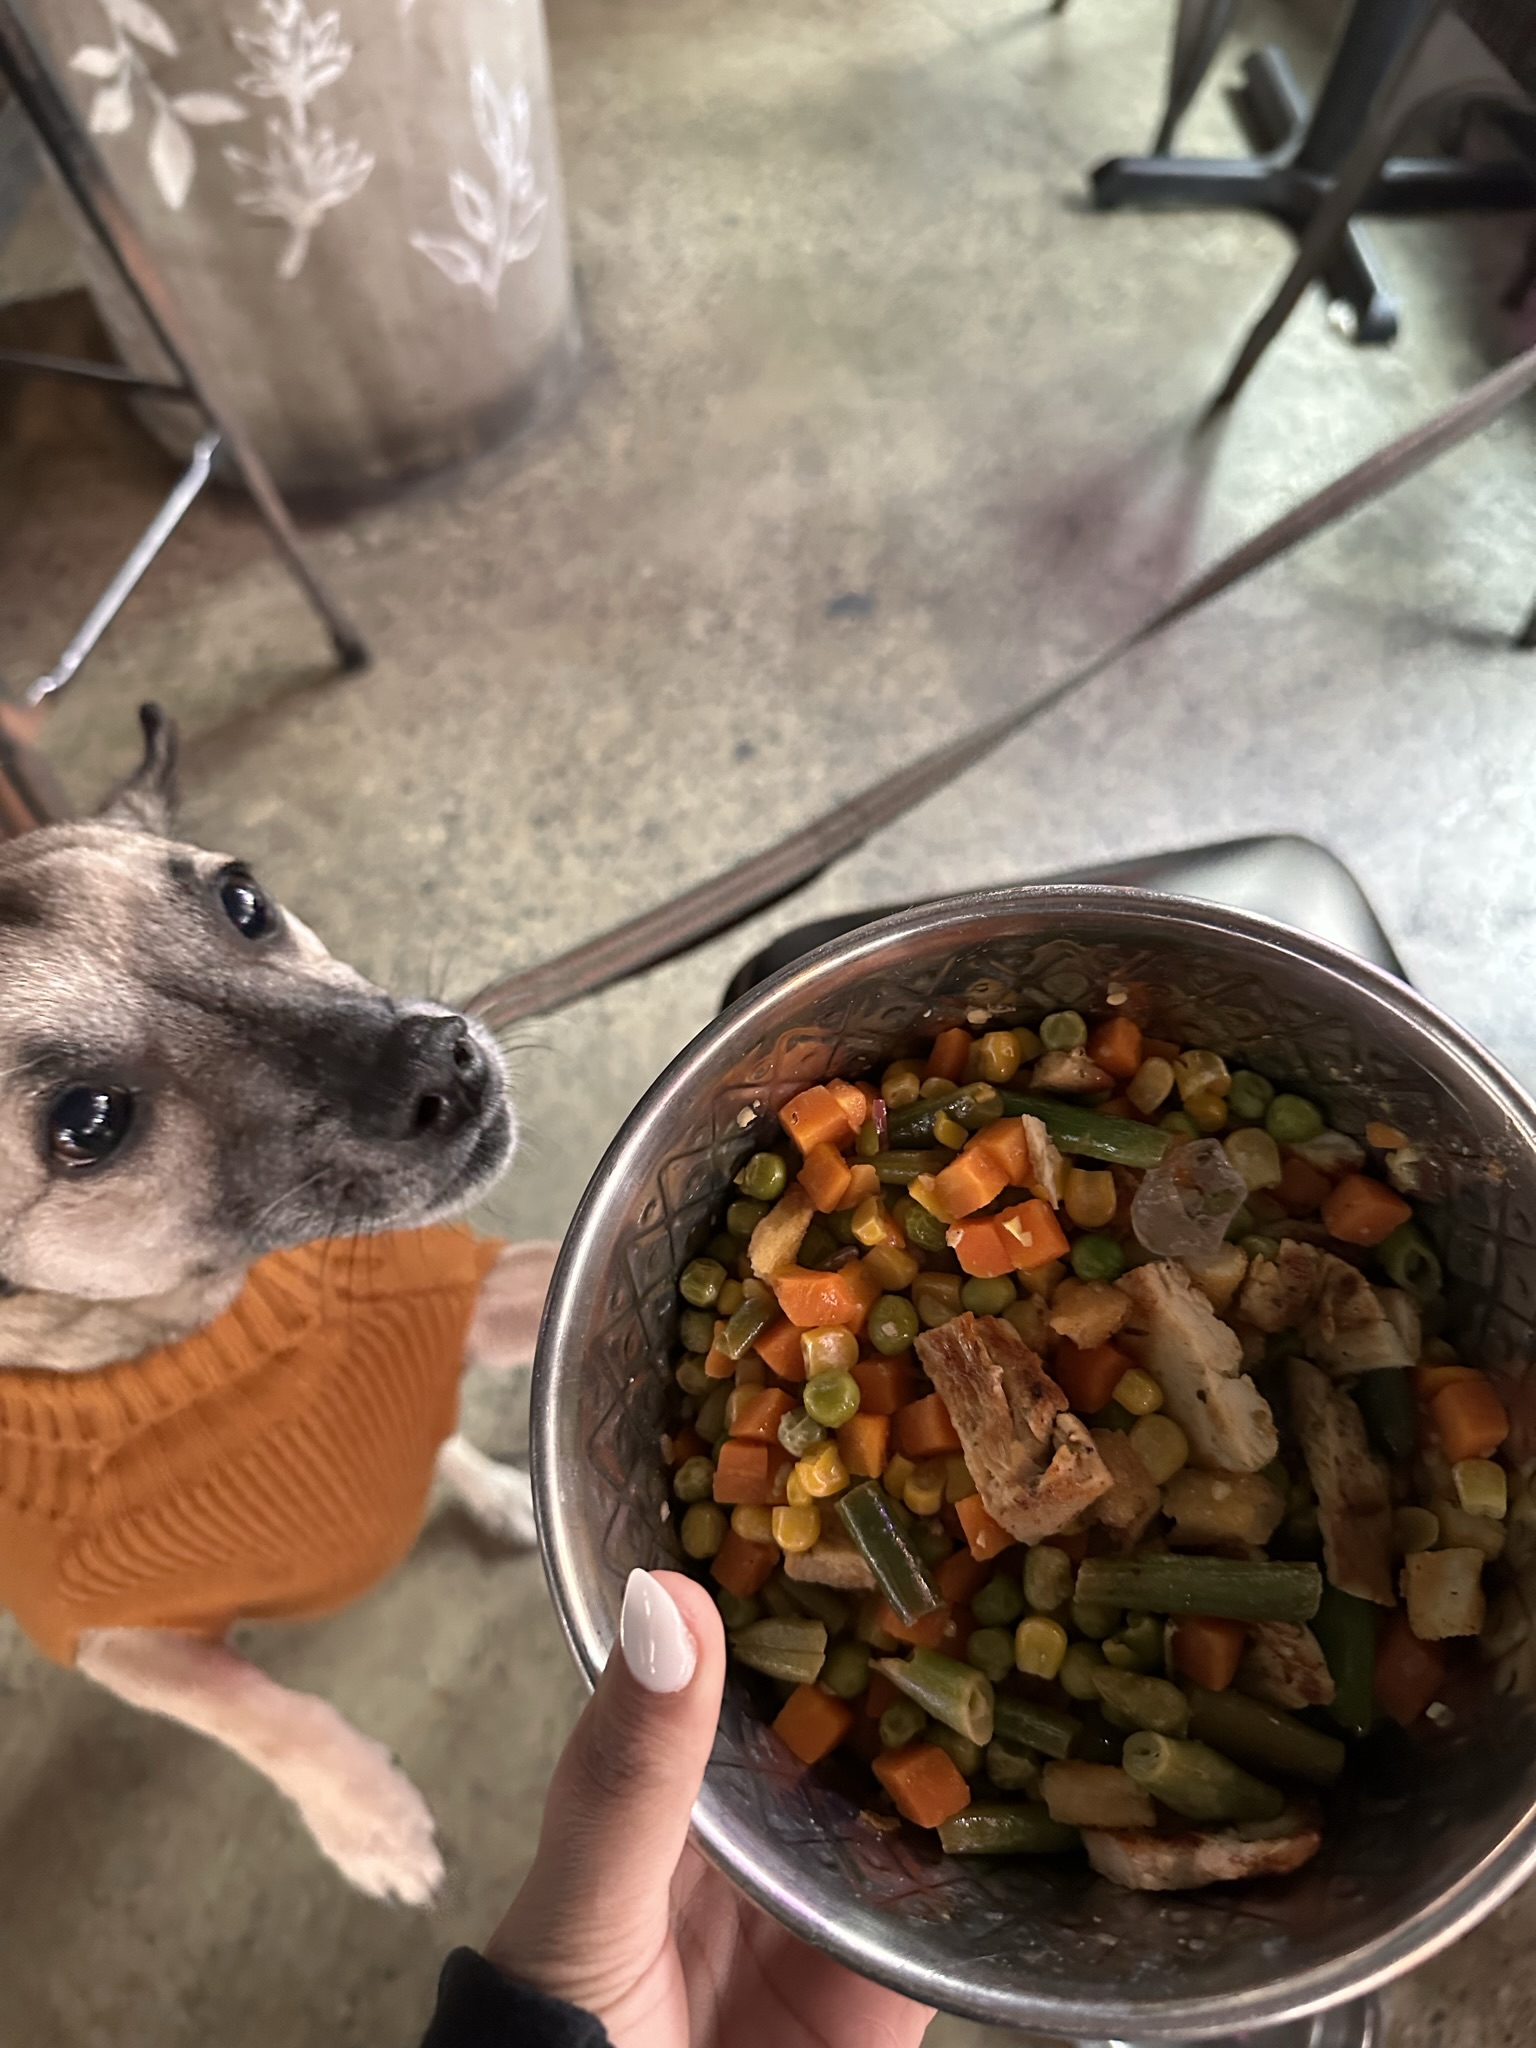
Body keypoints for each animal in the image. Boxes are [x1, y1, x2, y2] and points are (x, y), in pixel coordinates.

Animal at [0, 706, 557, 1904]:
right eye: (89, 1122)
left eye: (242, 900)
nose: (448, 1058)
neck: (209, 1333)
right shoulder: (108, 1631)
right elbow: (244, 1708)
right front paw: (367, 1818)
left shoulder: (465, 1297)